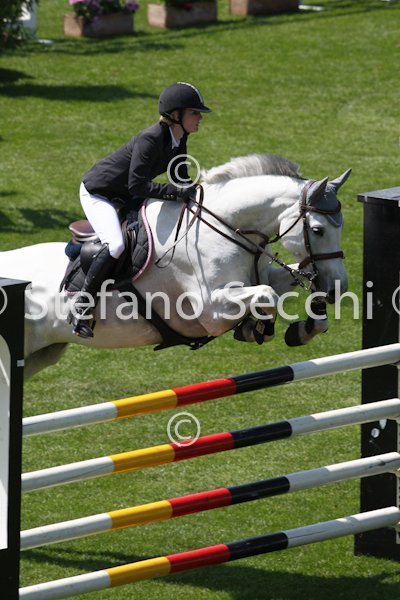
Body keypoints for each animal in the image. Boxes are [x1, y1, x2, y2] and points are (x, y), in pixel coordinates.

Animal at [0, 154, 350, 379]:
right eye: (318, 229)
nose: (338, 288)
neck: (224, 228)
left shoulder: (260, 277)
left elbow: (281, 287)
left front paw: (302, 329)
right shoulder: (210, 311)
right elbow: (266, 295)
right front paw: (256, 328)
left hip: (41, 354)